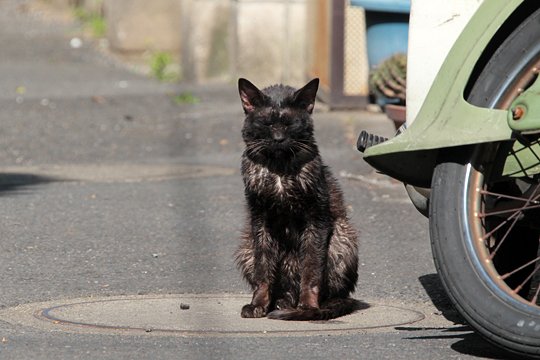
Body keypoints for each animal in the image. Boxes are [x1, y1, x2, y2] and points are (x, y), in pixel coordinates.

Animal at [235, 79, 364, 320]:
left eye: (289, 124)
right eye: (267, 123)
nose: (278, 139)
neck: (278, 168)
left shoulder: (317, 217)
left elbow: (311, 269)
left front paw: (308, 307)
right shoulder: (259, 219)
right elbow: (263, 269)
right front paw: (258, 304)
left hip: (342, 235)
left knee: (333, 293)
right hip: (246, 244)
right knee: (282, 287)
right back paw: (280, 303)